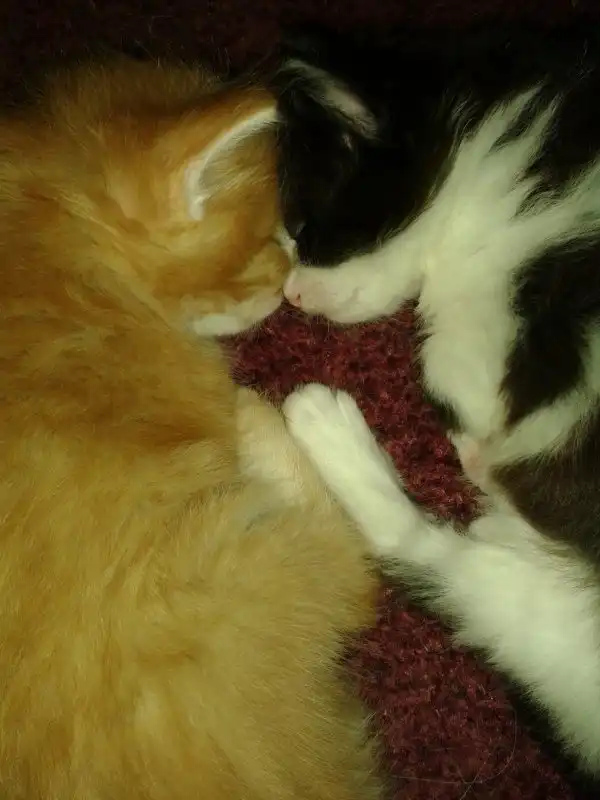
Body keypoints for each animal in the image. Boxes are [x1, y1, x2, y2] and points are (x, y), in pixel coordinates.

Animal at [272, 22, 600, 793]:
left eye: (304, 228)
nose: (290, 297)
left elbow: (460, 361)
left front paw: (482, 452)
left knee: (419, 550)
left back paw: (326, 422)